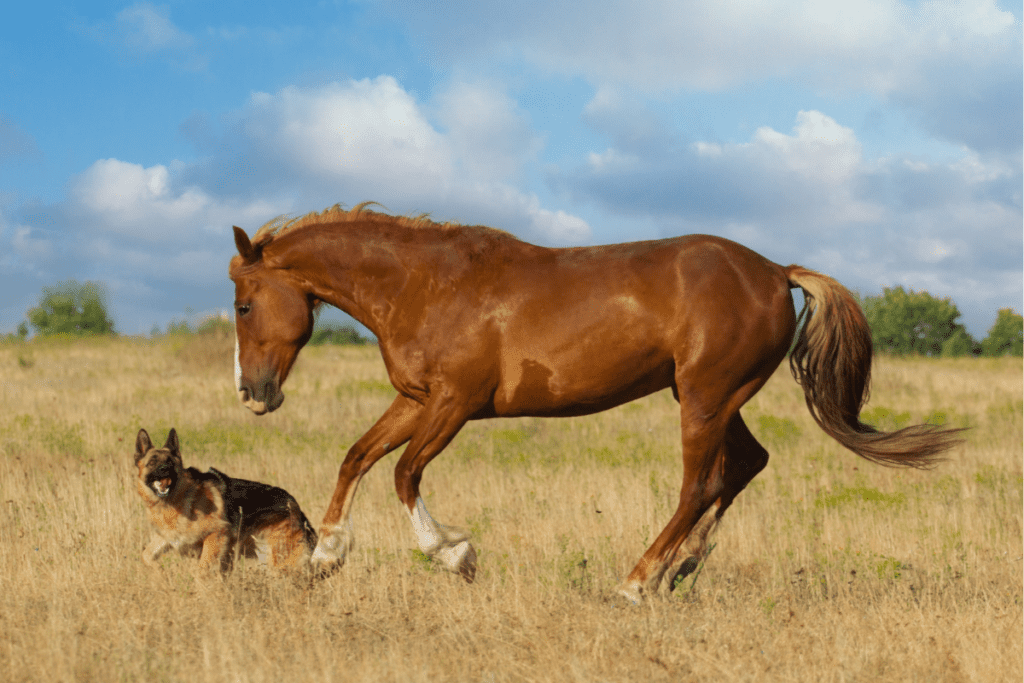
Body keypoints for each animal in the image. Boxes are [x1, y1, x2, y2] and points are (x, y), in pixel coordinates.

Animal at [134, 430, 315, 573]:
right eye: (152, 462)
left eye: (170, 463)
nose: (164, 469)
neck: (177, 499)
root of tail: (294, 505)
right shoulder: (168, 538)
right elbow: (145, 555)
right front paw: (160, 573)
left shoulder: (216, 534)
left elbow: (202, 570)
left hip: (280, 563)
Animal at [230, 204, 958, 602]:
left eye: (243, 304)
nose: (253, 394)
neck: (428, 285)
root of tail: (777, 272)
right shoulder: (416, 399)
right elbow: (357, 456)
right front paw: (326, 556)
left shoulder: (454, 403)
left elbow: (405, 473)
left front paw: (455, 555)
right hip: (717, 397)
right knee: (746, 465)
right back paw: (679, 570)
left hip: (704, 398)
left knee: (700, 483)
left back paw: (637, 581)